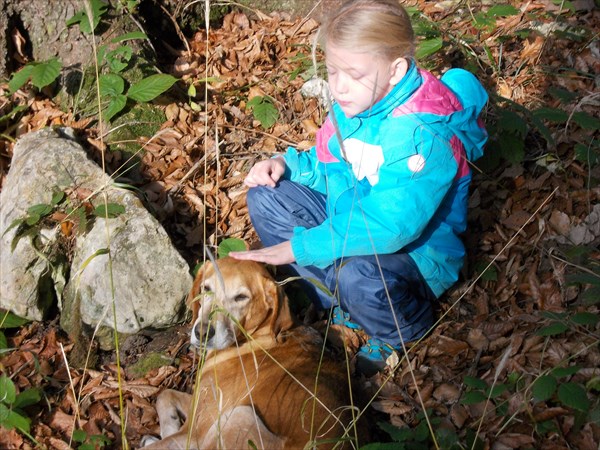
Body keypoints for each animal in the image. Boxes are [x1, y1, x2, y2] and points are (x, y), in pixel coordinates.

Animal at [141, 256, 364, 450]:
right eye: (206, 288)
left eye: (241, 297)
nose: (202, 333)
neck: (257, 336)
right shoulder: (198, 403)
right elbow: (164, 395)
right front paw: (168, 425)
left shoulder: (195, 433)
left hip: (239, 415)